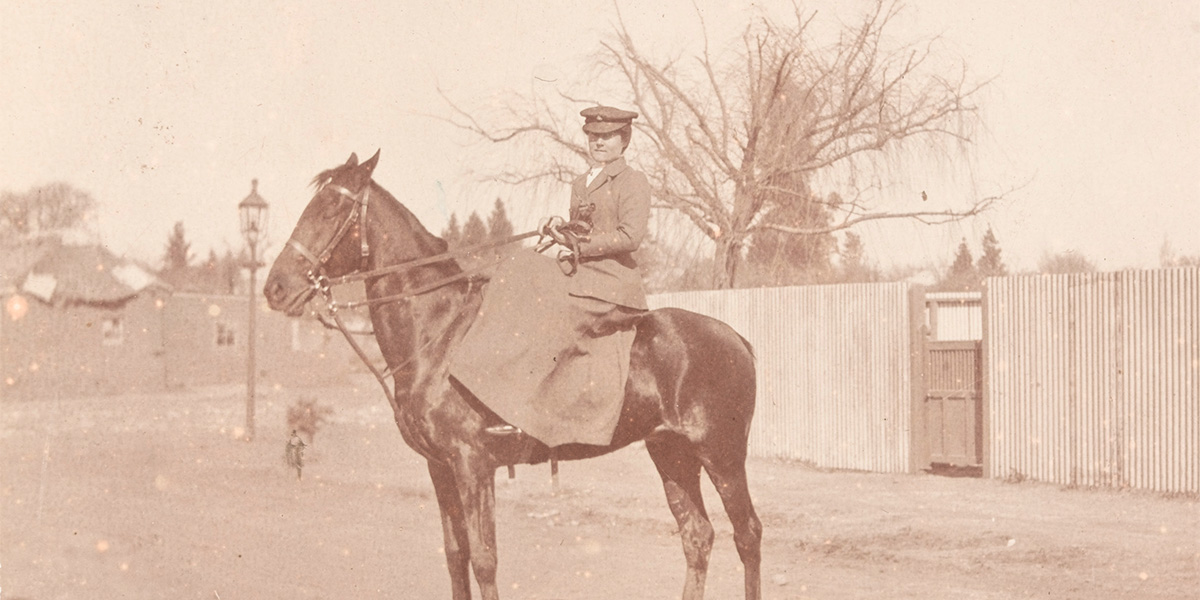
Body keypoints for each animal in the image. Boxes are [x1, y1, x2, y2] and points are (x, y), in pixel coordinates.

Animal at [267, 151, 763, 600]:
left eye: (330, 209)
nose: (275, 287)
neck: (439, 333)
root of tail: (736, 337)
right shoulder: (440, 467)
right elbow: (456, 555)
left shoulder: (472, 464)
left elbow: (484, 559)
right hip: (672, 453)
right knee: (697, 535)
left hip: (720, 454)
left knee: (748, 534)